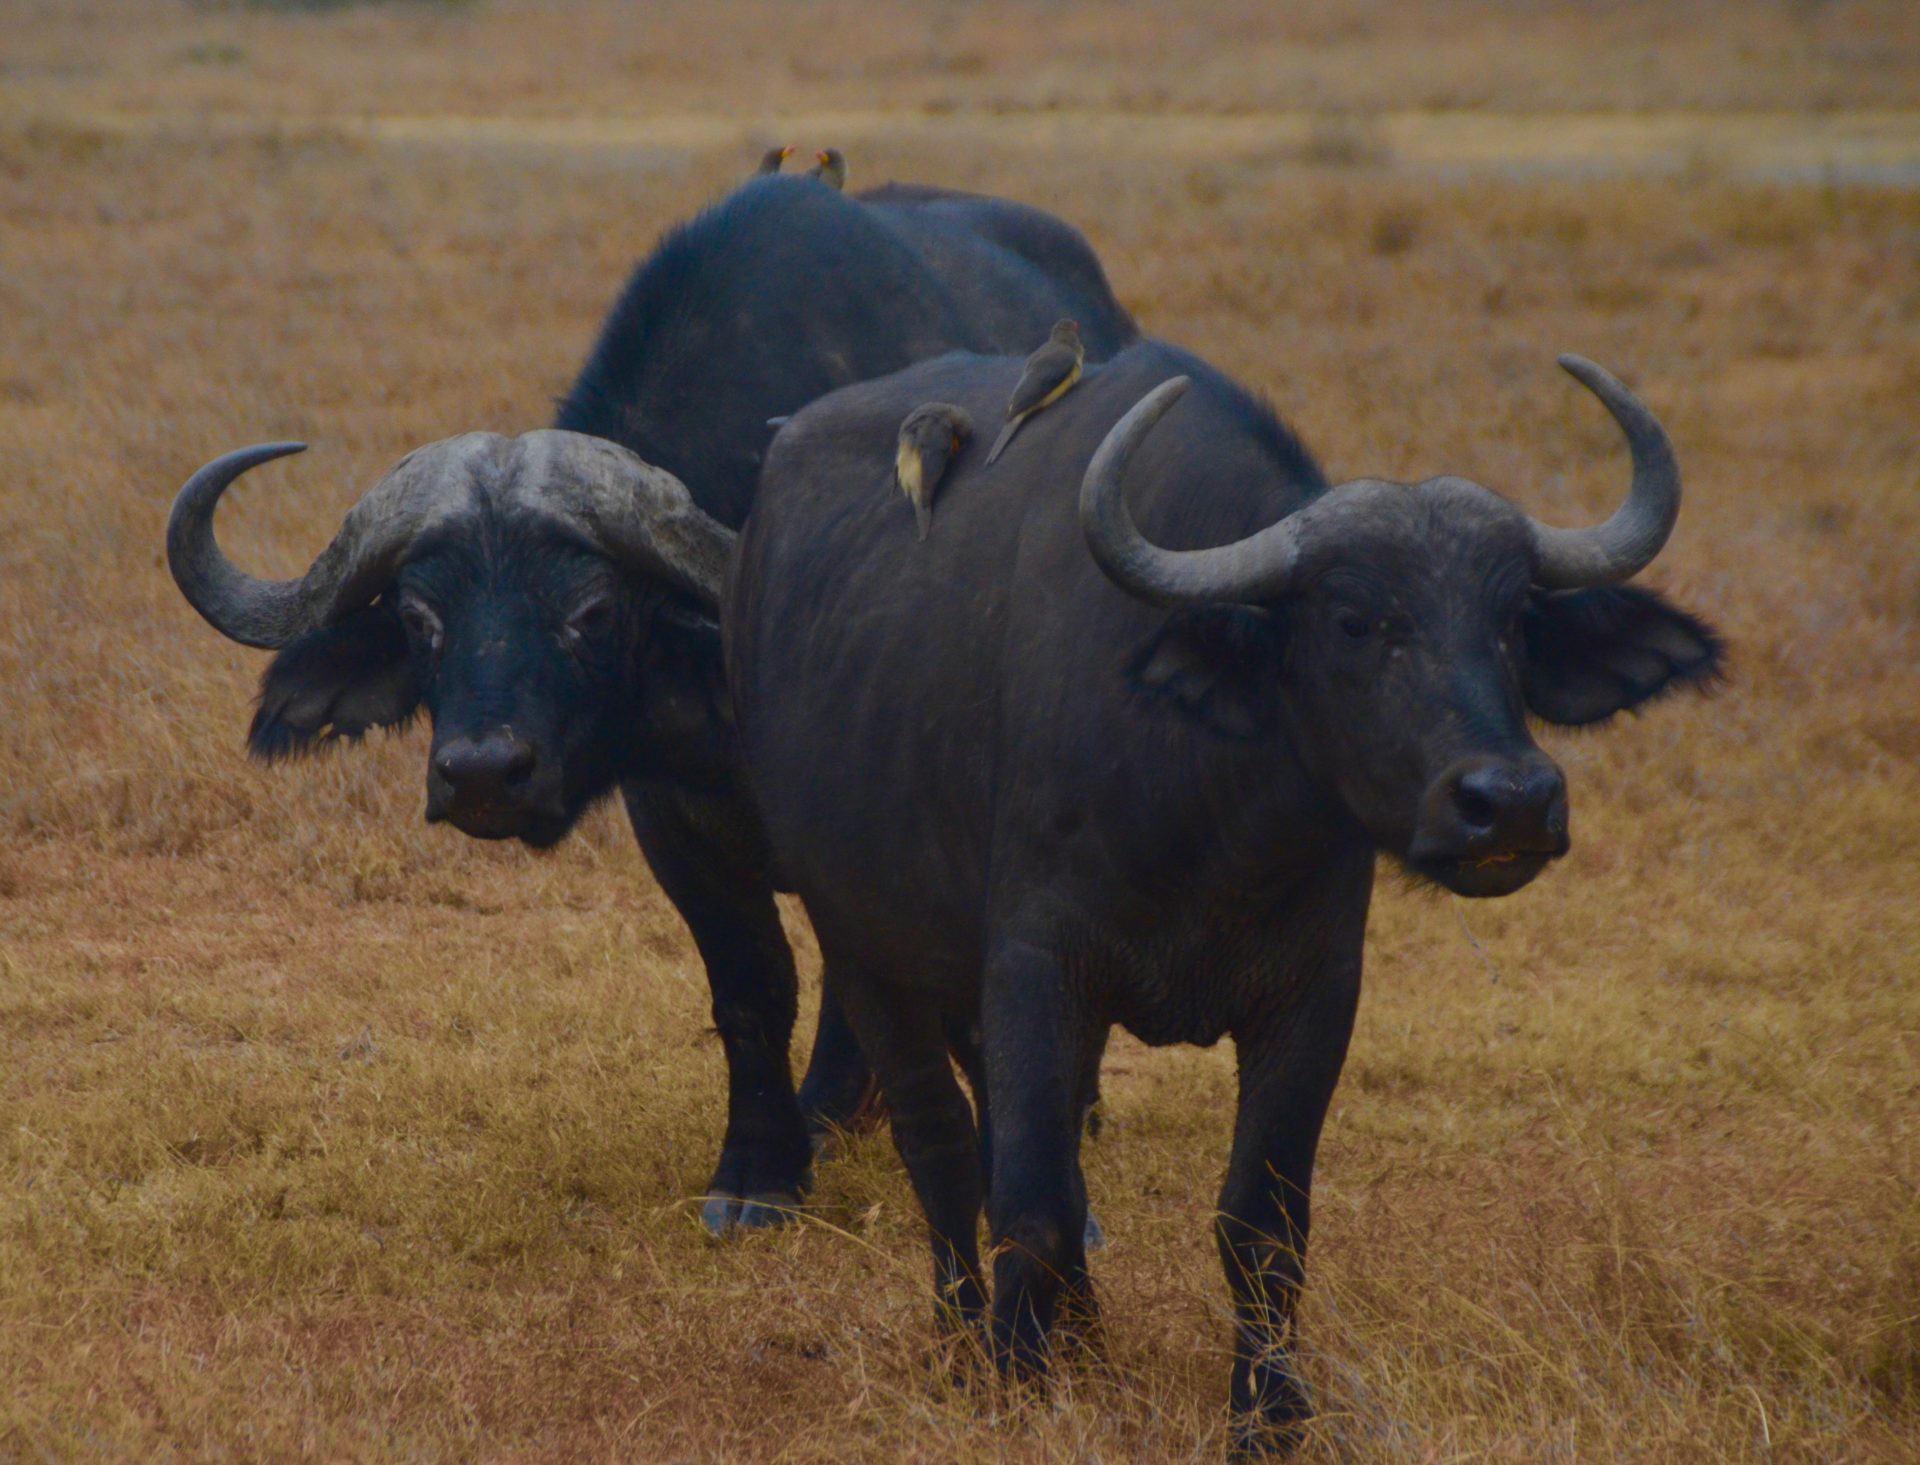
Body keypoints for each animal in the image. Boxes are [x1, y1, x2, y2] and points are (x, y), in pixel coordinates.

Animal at [165, 177, 1136, 1244]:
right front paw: (761, 1172)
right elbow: (753, 987)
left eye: (591, 611)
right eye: (421, 618)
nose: (483, 772)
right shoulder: (673, 824)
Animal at [721, 343, 1728, 1459]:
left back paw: (1081, 1332)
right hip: (863, 946)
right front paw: (1017, 1386)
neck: (1210, 810)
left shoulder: (1314, 992)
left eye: (1511, 622)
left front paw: (1269, 1411)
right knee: (940, 1150)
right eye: (1352, 620)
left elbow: (1261, 1221)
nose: (1507, 800)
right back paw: (962, 1338)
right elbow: (1027, 1199)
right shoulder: (1035, 969)